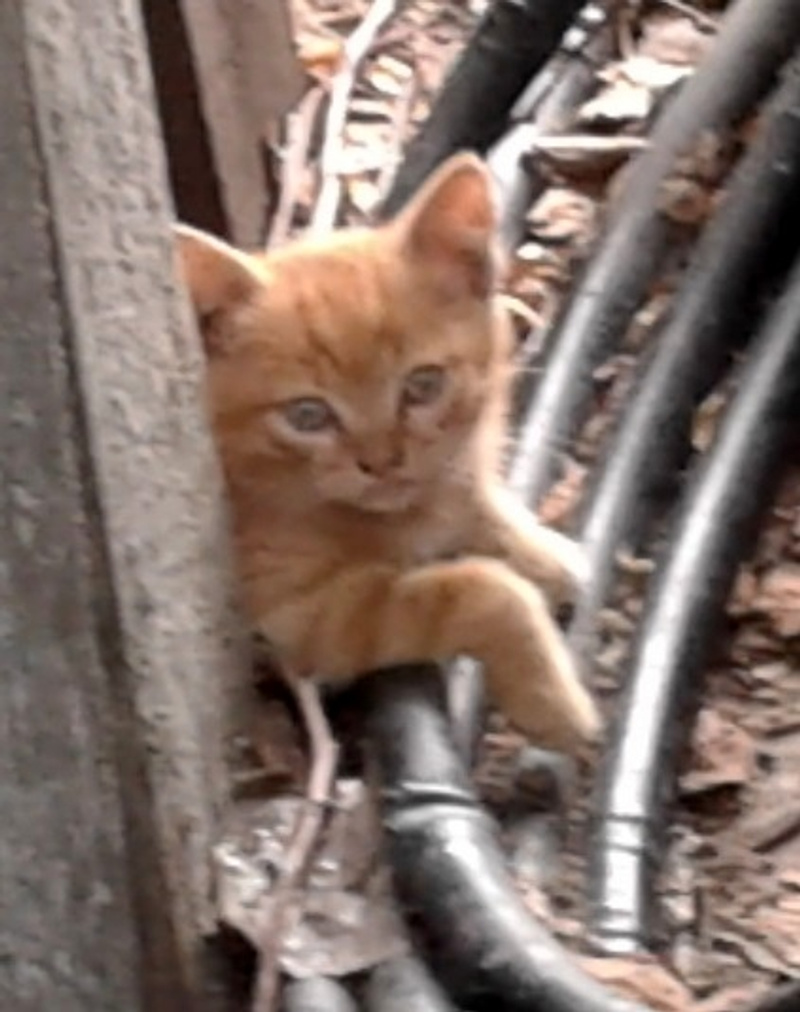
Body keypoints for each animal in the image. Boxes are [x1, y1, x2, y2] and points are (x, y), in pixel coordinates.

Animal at [175, 152, 601, 753]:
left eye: (423, 385)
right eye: (308, 416)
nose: (381, 462)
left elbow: (470, 500)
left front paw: (538, 550)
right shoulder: (303, 615)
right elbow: (480, 593)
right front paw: (550, 701)